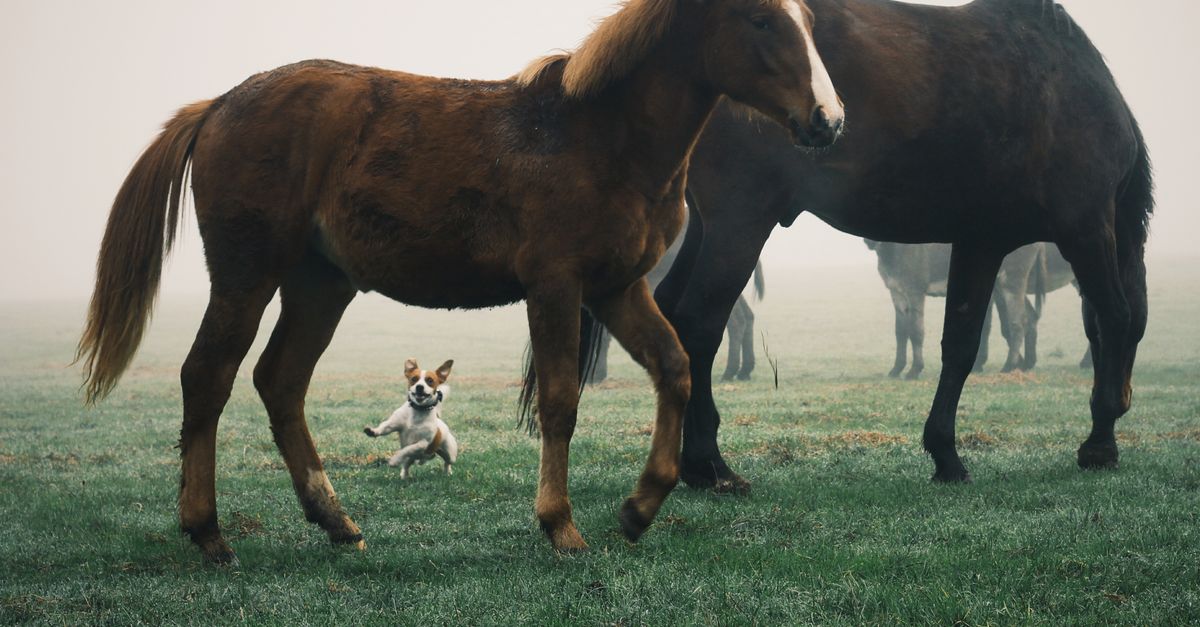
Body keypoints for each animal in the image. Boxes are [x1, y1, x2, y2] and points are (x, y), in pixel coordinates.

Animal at [76, 0, 844, 562]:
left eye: (807, 19)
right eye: (760, 19)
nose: (828, 120)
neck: (602, 135)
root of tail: (217, 105)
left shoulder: (618, 287)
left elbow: (675, 368)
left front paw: (638, 508)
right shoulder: (556, 284)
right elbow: (560, 400)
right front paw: (561, 525)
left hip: (322, 284)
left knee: (280, 380)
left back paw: (335, 520)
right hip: (247, 275)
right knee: (209, 376)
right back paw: (209, 532)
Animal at [655, 0, 1152, 491]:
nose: (1127, 400)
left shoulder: (981, 240)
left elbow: (960, 344)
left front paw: (945, 452)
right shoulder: (1087, 229)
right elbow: (1115, 316)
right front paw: (1100, 444)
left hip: (706, 226)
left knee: (671, 310)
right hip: (739, 223)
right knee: (700, 322)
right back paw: (709, 463)